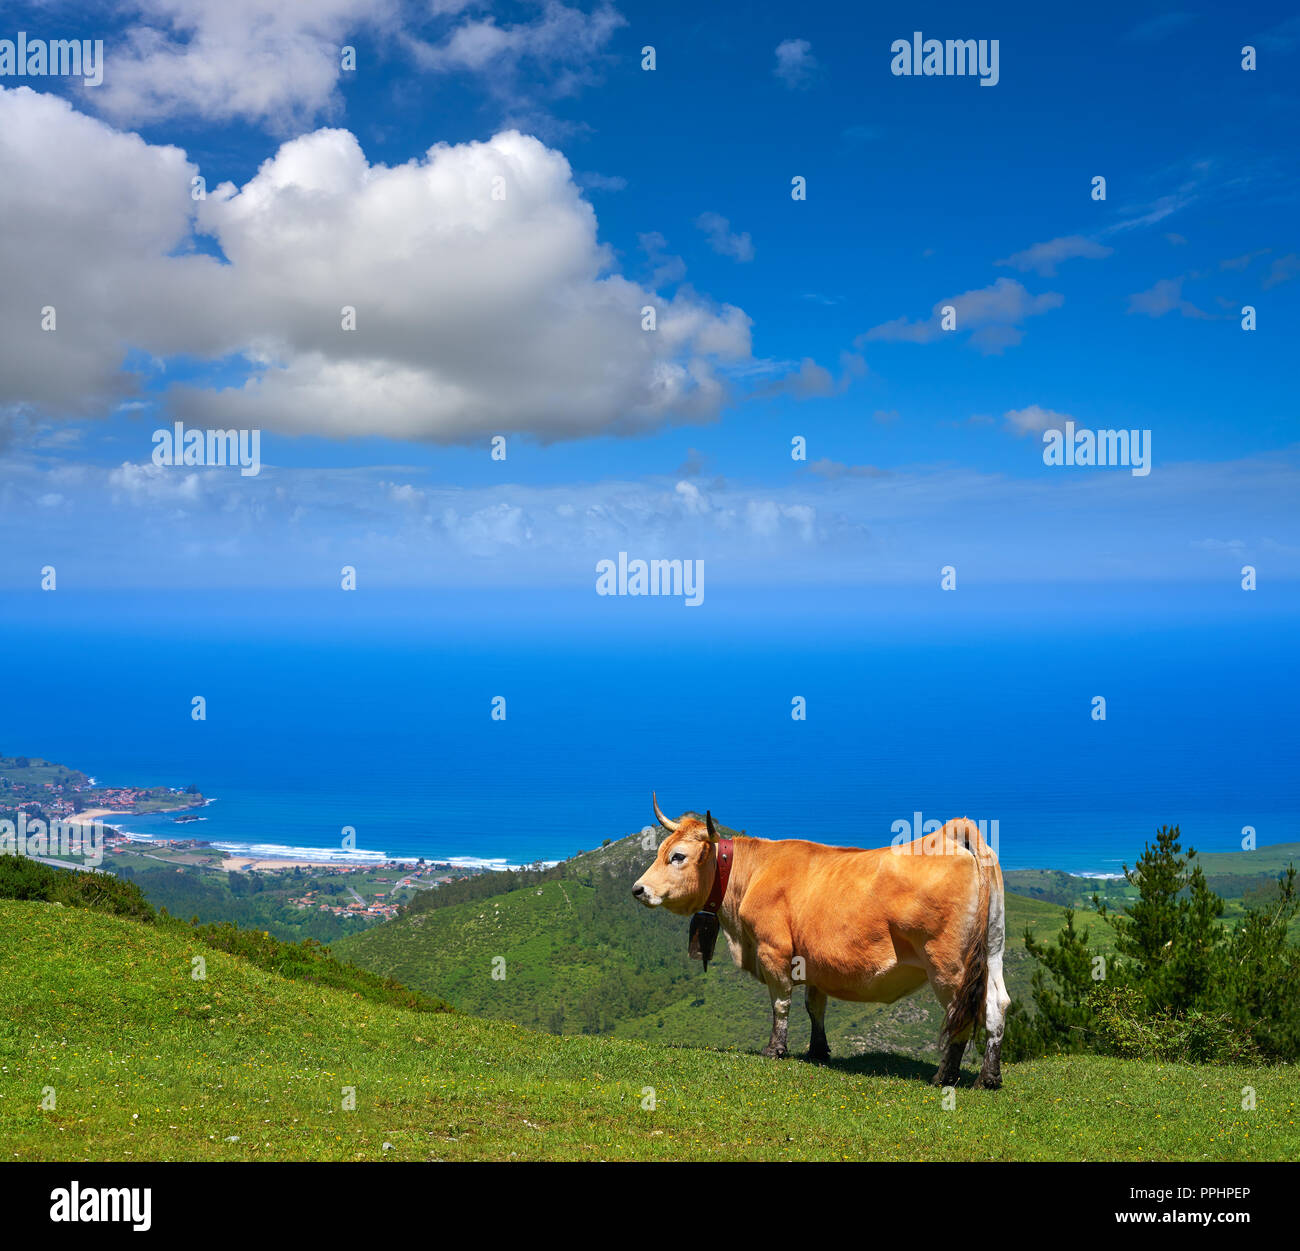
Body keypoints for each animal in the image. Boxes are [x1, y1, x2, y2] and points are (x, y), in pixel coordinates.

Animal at [631, 795, 1011, 1089]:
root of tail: (953, 833)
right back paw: (988, 1078)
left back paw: (944, 1076)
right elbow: (815, 1007)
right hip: (992, 952)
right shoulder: (813, 960)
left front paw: (775, 1050)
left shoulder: (774, 950)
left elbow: (781, 1003)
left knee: (960, 1012)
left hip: (947, 964)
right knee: (997, 1005)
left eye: (678, 856)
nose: (638, 889)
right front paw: (818, 1051)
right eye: (661, 850)